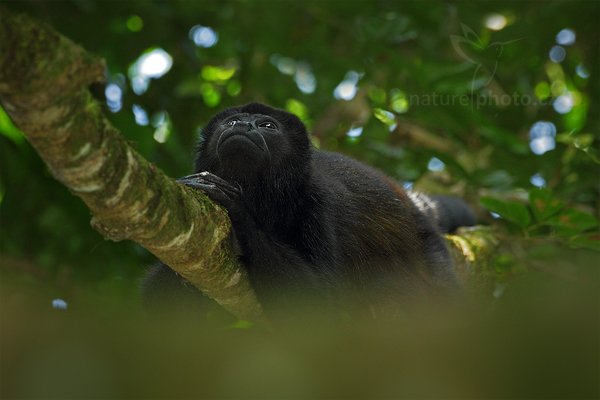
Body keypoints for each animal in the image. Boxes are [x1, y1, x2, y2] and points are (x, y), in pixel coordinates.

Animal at [142, 102, 474, 318]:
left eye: (267, 126)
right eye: (232, 121)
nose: (242, 125)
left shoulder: (317, 204)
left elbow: (320, 302)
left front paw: (237, 209)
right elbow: (158, 303)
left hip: (428, 248)